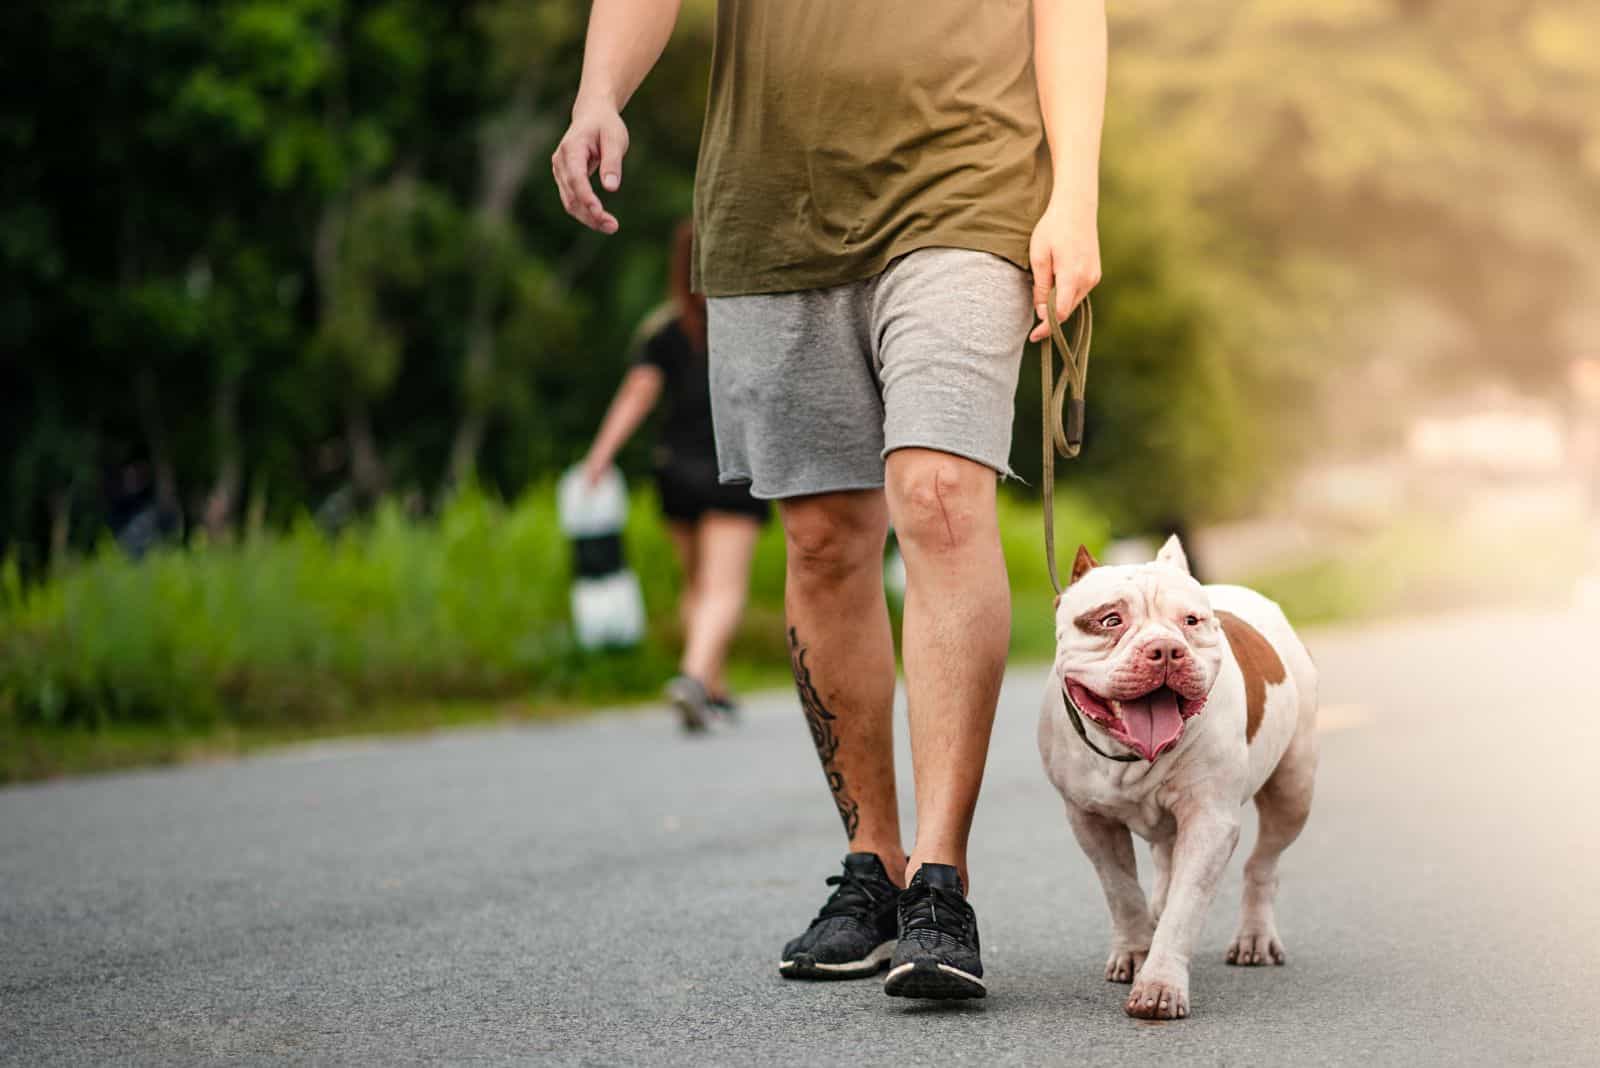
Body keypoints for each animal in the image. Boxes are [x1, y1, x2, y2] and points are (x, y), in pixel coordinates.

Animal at [1043, 537, 1318, 1023]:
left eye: (1190, 621)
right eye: (1110, 620)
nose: (1166, 650)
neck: (1131, 756)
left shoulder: (1210, 822)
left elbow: (1186, 907)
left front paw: (1159, 985)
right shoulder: (1089, 819)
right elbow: (1121, 889)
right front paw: (1135, 951)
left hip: (1293, 790)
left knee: (1262, 864)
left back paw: (1254, 937)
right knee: (1164, 863)